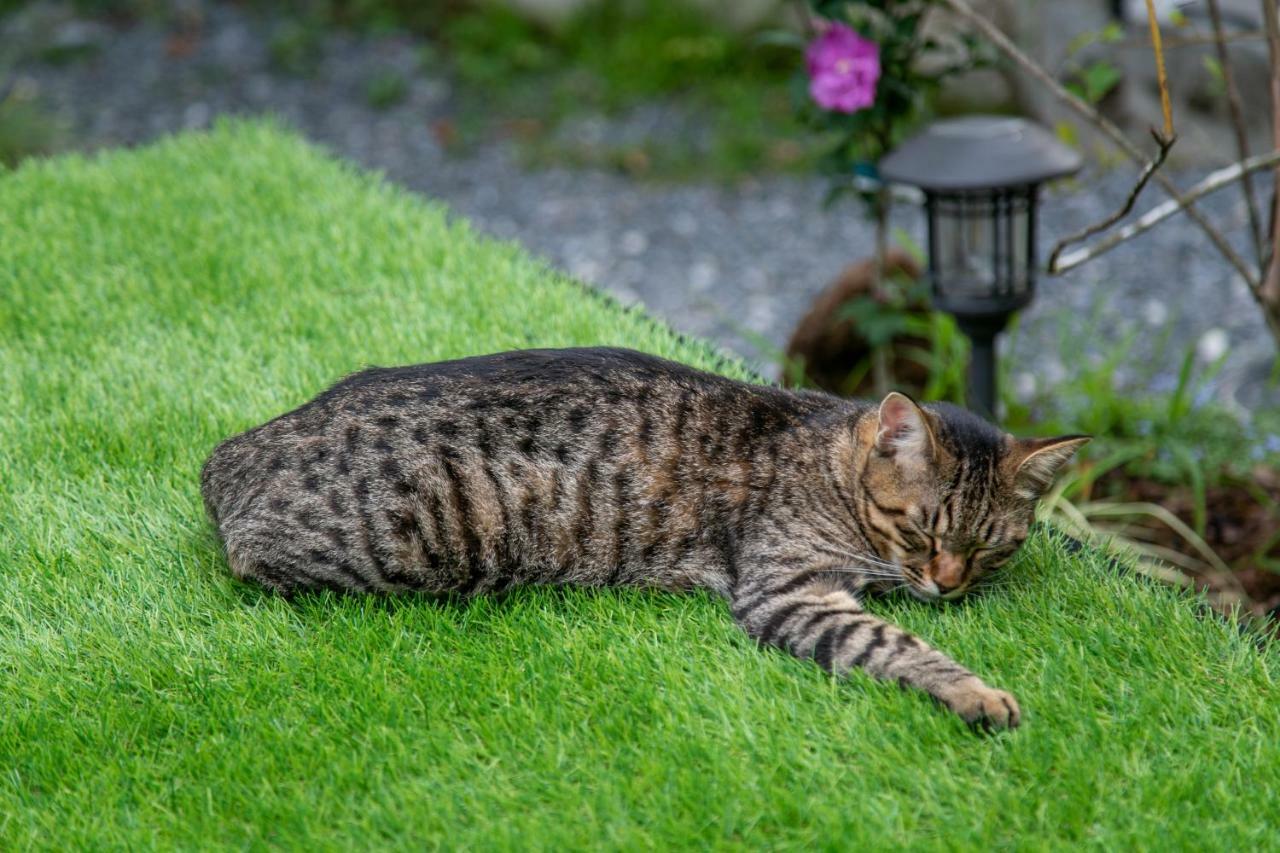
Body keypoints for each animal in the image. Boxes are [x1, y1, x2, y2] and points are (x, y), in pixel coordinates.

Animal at [204, 348, 1085, 732]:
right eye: (920, 528)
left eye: (992, 546)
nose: (949, 581)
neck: (827, 457)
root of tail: (232, 451)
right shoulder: (789, 590)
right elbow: (897, 644)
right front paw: (974, 690)